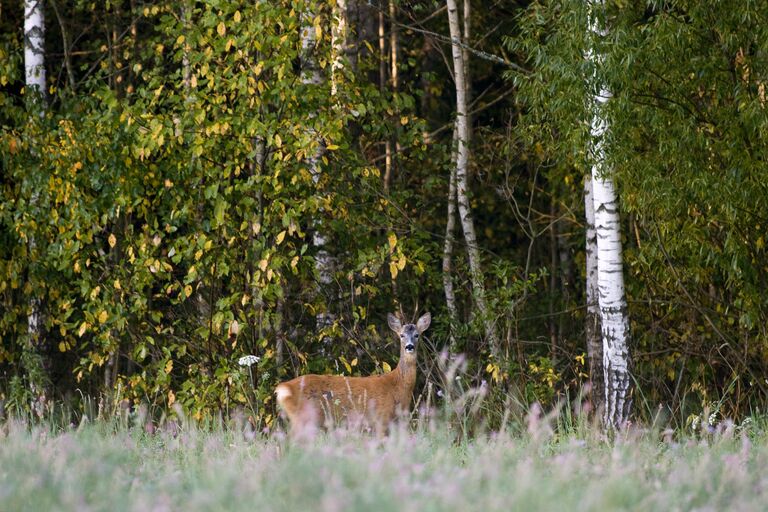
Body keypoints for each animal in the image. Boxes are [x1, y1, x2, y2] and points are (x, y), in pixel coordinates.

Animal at [276, 310, 432, 434]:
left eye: (417, 335)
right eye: (401, 335)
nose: (409, 346)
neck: (397, 386)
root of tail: (283, 388)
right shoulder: (381, 418)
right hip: (304, 418)